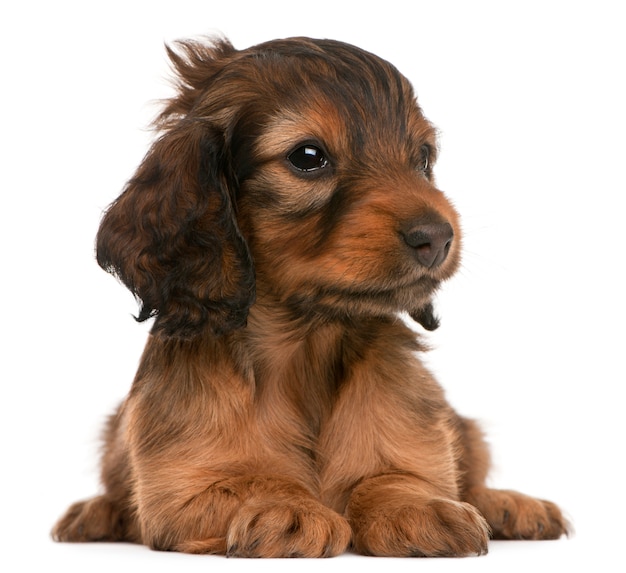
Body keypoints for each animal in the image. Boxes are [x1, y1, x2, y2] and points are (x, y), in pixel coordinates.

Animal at [53, 35, 568, 556]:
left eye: (423, 158)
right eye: (307, 156)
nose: (438, 237)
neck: (306, 346)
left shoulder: (414, 442)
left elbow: (395, 477)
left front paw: (417, 509)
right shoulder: (178, 491)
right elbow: (253, 479)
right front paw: (287, 508)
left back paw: (511, 504)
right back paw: (94, 512)